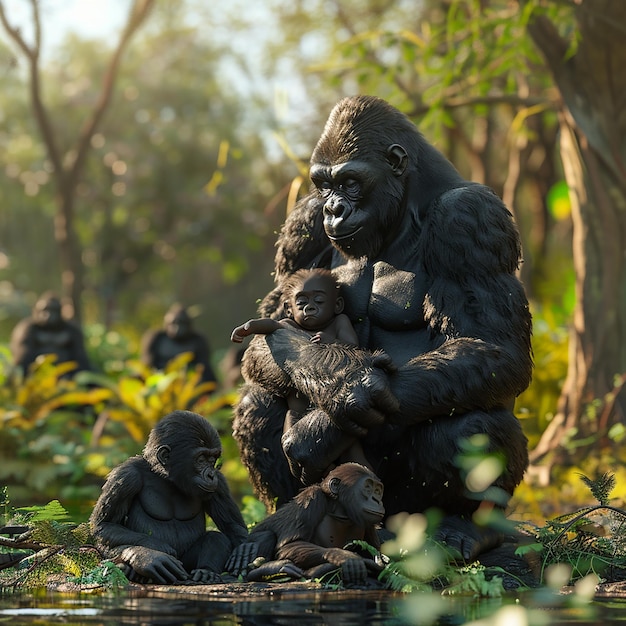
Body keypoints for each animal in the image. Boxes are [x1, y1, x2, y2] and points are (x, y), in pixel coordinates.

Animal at [90, 410, 246, 580]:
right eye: (201, 459)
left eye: (212, 459)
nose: (211, 474)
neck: (166, 478)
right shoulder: (126, 477)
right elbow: (105, 525)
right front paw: (153, 552)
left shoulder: (220, 484)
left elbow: (233, 527)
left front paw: (246, 551)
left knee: (216, 538)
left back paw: (206, 571)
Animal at [234, 95, 532, 560]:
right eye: (323, 186)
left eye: (350, 182)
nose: (334, 208)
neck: (407, 205)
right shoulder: (302, 221)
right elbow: (265, 331)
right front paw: (337, 378)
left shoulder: (470, 218)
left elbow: (491, 345)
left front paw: (325, 422)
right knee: (260, 398)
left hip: (401, 511)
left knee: (467, 427)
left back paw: (467, 527)